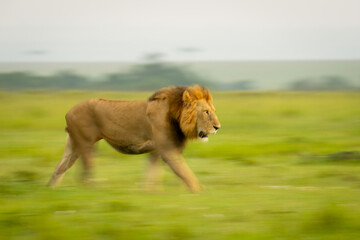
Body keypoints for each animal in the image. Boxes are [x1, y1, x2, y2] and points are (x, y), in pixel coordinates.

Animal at [48, 85, 219, 192]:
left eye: (213, 111)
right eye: (206, 112)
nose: (218, 127)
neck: (176, 114)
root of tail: (68, 112)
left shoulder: (156, 150)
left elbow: (153, 173)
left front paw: (151, 192)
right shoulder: (167, 149)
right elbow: (185, 171)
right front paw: (199, 191)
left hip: (73, 146)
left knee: (60, 168)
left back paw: (51, 189)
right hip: (86, 144)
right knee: (85, 173)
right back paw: (92, 191)